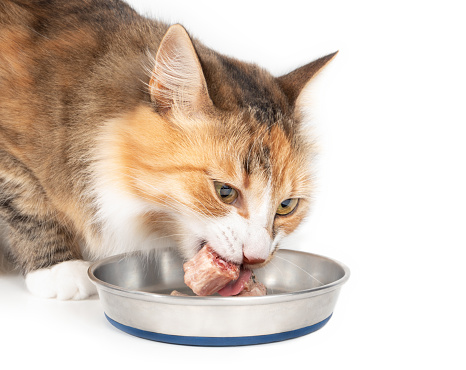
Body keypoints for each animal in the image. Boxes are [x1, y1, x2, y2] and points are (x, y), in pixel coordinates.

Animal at [0, 0, 334, 300]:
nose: (256, 257)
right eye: (225, 192)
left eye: (286, 206)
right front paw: (59, 268)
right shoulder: (10, 157)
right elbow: (28, 205)